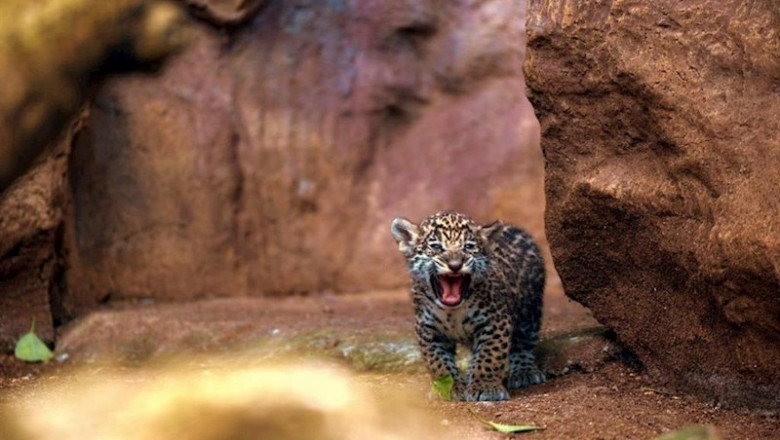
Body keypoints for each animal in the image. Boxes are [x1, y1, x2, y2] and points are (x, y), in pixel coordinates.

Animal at [390, 210, 545, 401]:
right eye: (436, 246)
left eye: (468, 247)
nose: (455, 265)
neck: (452, 311)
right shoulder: (427, 328)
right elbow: (437, 361)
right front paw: (448, 387)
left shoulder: (495, 322)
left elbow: (489, 355)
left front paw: (485, 387)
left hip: (529, 310)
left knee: (524, 342)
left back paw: (524, 372)